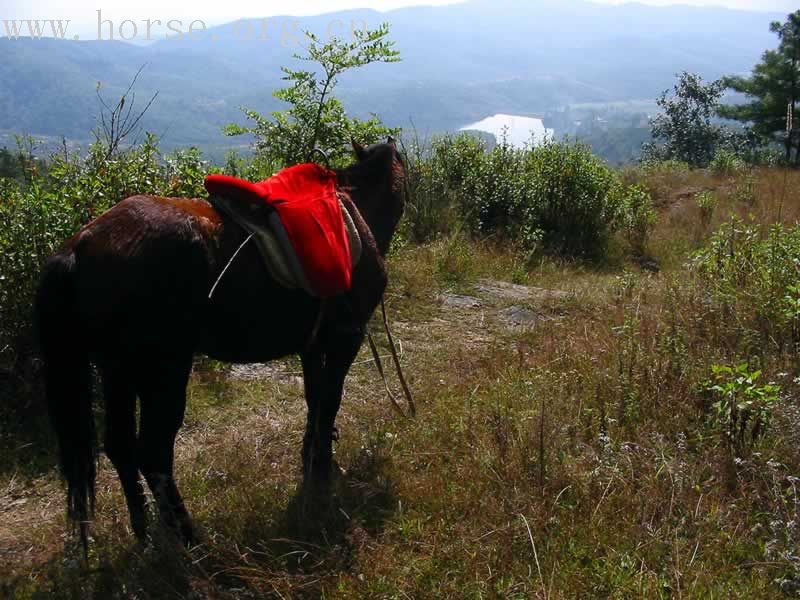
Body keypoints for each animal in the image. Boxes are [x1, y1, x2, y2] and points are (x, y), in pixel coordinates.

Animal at [34, 137, 406, 548]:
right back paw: (187, 534)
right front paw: (323, 462)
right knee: (154, 452)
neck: (358, 215)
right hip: (163, 369)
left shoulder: (312, 343)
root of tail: (79, 247)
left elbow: (315, 396)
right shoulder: (346, 337)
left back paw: (144, 531)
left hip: (117, 370)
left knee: (120, 447)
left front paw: (311, 454)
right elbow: (331, 397)